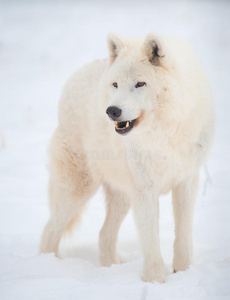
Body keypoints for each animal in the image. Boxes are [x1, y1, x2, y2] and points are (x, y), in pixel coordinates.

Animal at [40, 32, 216, 284]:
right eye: (115, 84)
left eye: (140, 84)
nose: (111, 111)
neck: (163, 133)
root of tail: (77, 74)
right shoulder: (145, 188)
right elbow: (151, 242)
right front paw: (155, 282)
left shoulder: (186, 181)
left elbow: (183, 236)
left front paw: (184, 273)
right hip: (79, 189)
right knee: (49, 231)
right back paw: (49, 267)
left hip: (122, 196)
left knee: (103, 235)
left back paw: (110, 269)